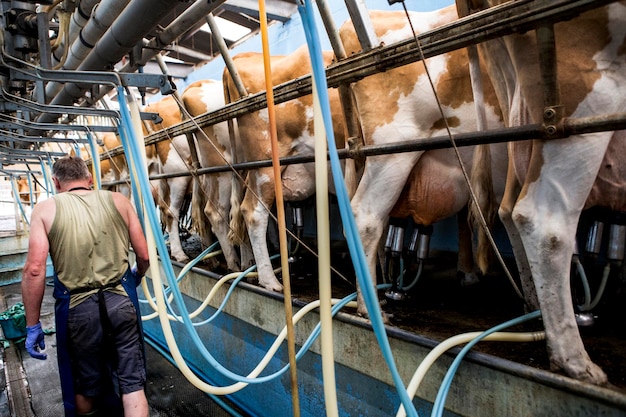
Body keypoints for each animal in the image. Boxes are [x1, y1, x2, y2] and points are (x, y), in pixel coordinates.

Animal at [454, 0, 624, 384]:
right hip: (577, 106)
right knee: (544, 222)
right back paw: (575, 360)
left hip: (519, 111)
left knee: (507, 209)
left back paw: (534, 307)